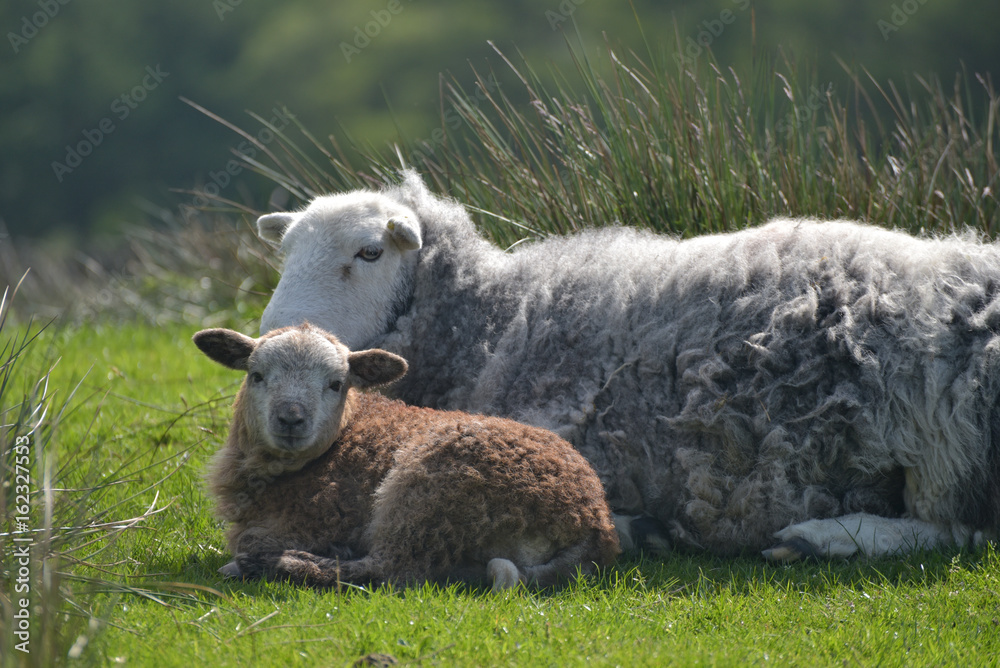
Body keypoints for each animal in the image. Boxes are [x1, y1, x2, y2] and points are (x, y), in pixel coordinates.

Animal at [193, 323, 620, 590]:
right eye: (256, 375)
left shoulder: (316, 516)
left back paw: (272, 564)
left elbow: (247, 537)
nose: (291, 419)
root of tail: (594, 521)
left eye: (336, 384)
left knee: (391, 570)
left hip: (432, 491)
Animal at [253, 171, 1000, 561]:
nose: (274, 340)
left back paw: (823, 538)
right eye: (284, 253)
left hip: (951, 433)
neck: (495, 320)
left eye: (370, 252)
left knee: (960, 529)